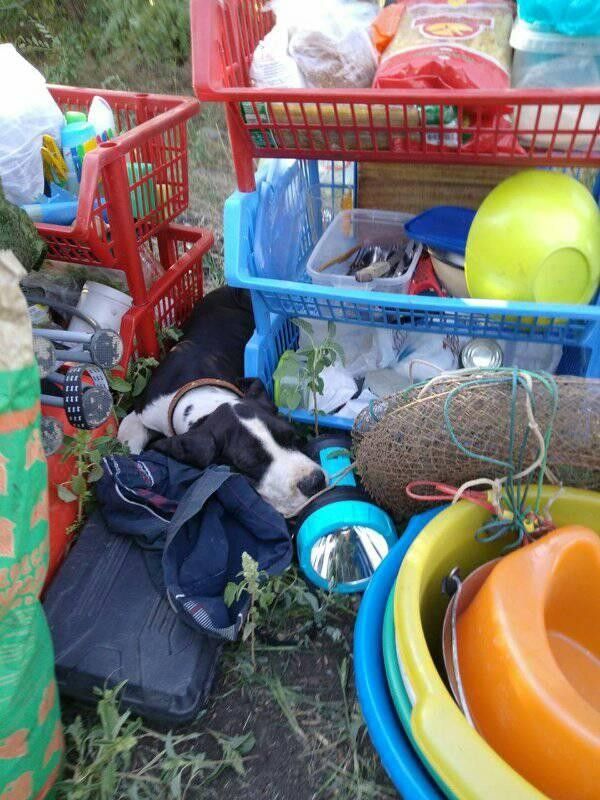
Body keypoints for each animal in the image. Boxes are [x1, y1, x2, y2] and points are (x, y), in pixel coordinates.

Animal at [118, 287, 326, 517]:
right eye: (250, 463)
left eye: (292, 435)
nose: (314, 481)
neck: (201, 397)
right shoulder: (145, 410)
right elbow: (127, 431)